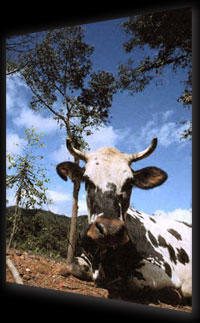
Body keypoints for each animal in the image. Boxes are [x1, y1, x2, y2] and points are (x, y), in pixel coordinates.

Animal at [56, 139, 192, 304]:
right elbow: (74, 266)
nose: (110, 229)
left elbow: (131, 281)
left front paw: (172, 292)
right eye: (87, 180)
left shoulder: (164, 267)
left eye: (130, 183)